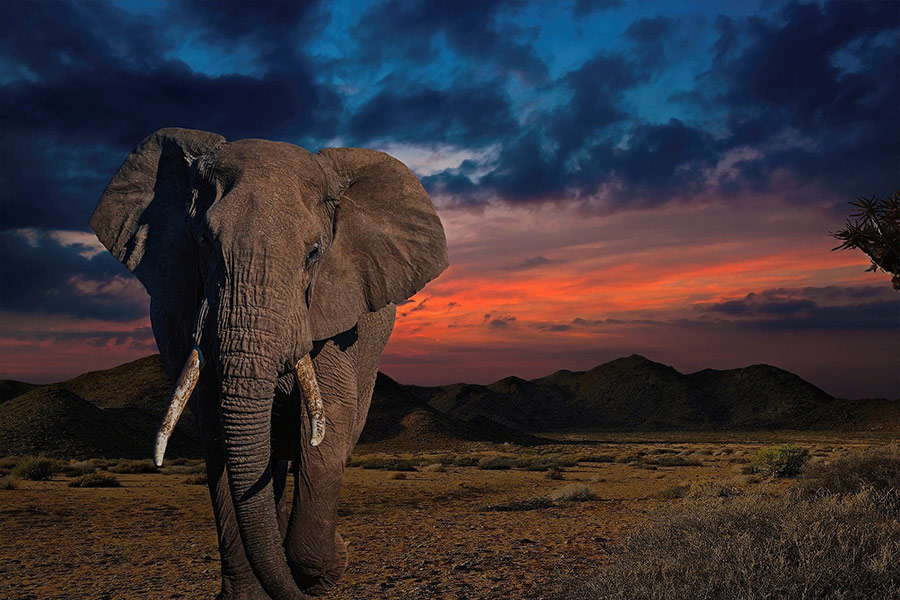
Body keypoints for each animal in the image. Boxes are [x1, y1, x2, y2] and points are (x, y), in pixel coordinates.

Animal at [90, 128, 448, 599]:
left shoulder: (332, 313)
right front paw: (254, 591)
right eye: (204, 242)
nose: (344, 546)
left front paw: (324, 569)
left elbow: (328, 426)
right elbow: (219, 431)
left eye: (314, 253)